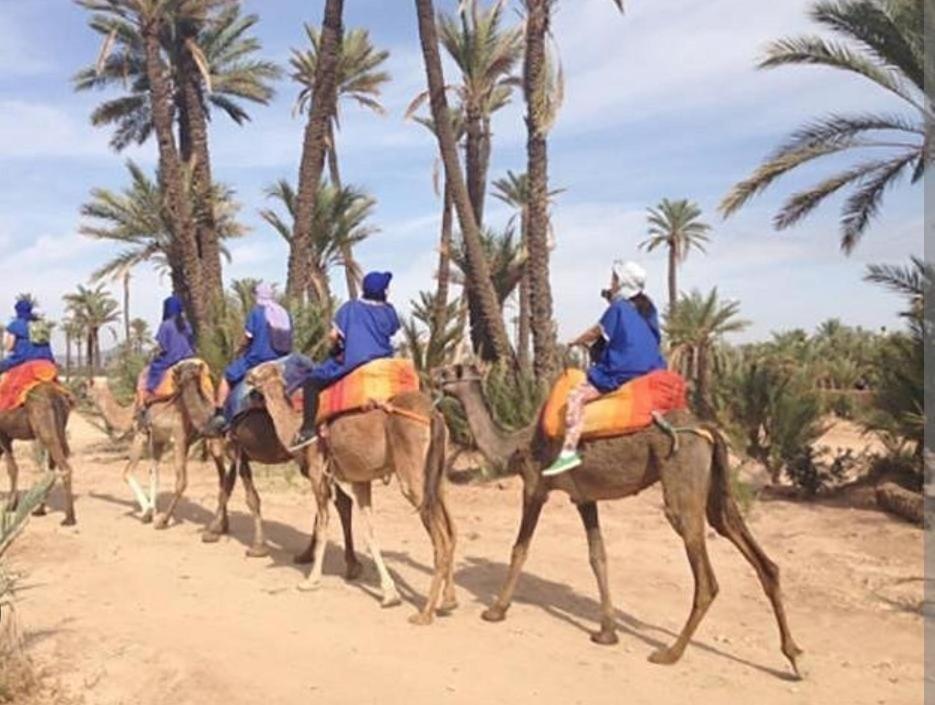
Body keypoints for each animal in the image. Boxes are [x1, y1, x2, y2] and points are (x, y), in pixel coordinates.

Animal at [0, 383, 76, 525]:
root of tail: (55, 395)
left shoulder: (4, 435)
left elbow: (12, 469)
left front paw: (11, 506)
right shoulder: (7, 437)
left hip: (44, 428)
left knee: (64, 467)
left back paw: (69, 518)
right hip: (58, 427)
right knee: (52, 469)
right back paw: (40, 510)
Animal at [180, 364, 359, 572]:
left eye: (181, 370)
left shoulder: (237, 452)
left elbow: (247, 497)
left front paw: (255, 546)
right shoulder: (239, 455)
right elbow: (226, 490)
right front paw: (216, 530)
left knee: (336, 501)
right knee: (339, 501)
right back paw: (337, 561)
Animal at [248, 363, 456, 624]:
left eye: (262, 369)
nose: (247, 376)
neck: (295, 428)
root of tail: (432, 414)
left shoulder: (317, 474)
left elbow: (323, 527)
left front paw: (310, 580)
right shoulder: (361, 480)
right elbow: (369, 534)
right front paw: (389, 594)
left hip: (413, 474)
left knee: (441, 539)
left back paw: (425, 613)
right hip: (436, 476)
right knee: (450, 532)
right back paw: (448, 601)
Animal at [435, 363, 802, 676]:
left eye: (451, 372)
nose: (433, 376)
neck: (516, 444)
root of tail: (706, 428)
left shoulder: (535, 486)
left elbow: (519, 549)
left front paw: (495, 610)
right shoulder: (584, 497)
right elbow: (598, 556)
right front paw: (607, 632)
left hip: (681, 477)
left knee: (706, 577)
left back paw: (669, 653)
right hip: (715, 487)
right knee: (754, 551)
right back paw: (794, 656)